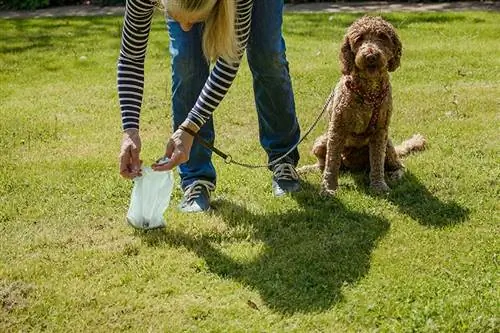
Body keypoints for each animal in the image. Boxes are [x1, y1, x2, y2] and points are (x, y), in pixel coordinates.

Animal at [300, 15, 426, 195]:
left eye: (382, 37)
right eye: (359, 39)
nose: (371, 55)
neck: (369, 92)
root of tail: (350, 164)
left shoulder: (380, 132)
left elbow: (377, 162)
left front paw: (379, 186)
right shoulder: (337, 129)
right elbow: (331, 162)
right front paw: (328, 188)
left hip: (387, 145)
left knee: (399, 165)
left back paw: (394, 175)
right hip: (321, 142)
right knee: (323, 165)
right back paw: (304, 169)